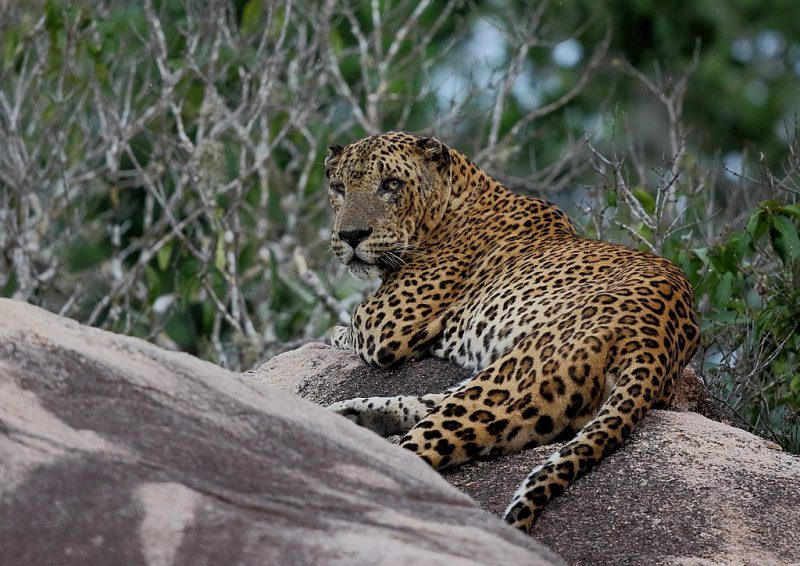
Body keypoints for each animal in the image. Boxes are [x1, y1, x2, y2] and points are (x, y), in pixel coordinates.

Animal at [324, 131, 700, 533]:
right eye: (338, 188)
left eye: (391, 185)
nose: (350, 236)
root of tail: (656, 341)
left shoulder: (384, 324)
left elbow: (347, 327)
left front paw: (334, 332)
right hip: (507, 384)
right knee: (429, 403)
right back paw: (350, 413)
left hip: (512, 381)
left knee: (416, 451)